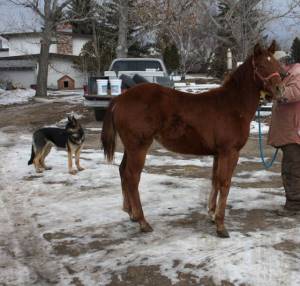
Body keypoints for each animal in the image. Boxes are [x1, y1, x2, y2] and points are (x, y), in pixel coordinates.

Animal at [101, 41, 284, 238]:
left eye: (276, 64)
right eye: (261, 65)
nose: (280, 90)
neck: (233, 106)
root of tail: (120, 98)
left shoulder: (218, 153)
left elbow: (215, 180)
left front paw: (211, 214)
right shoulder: (230, 152)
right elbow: (225, 183)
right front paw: (221, 225)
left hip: (131, 147)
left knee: (123, 171)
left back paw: (131, 213)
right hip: (139, 146)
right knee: (132, 177)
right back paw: (143, 222)